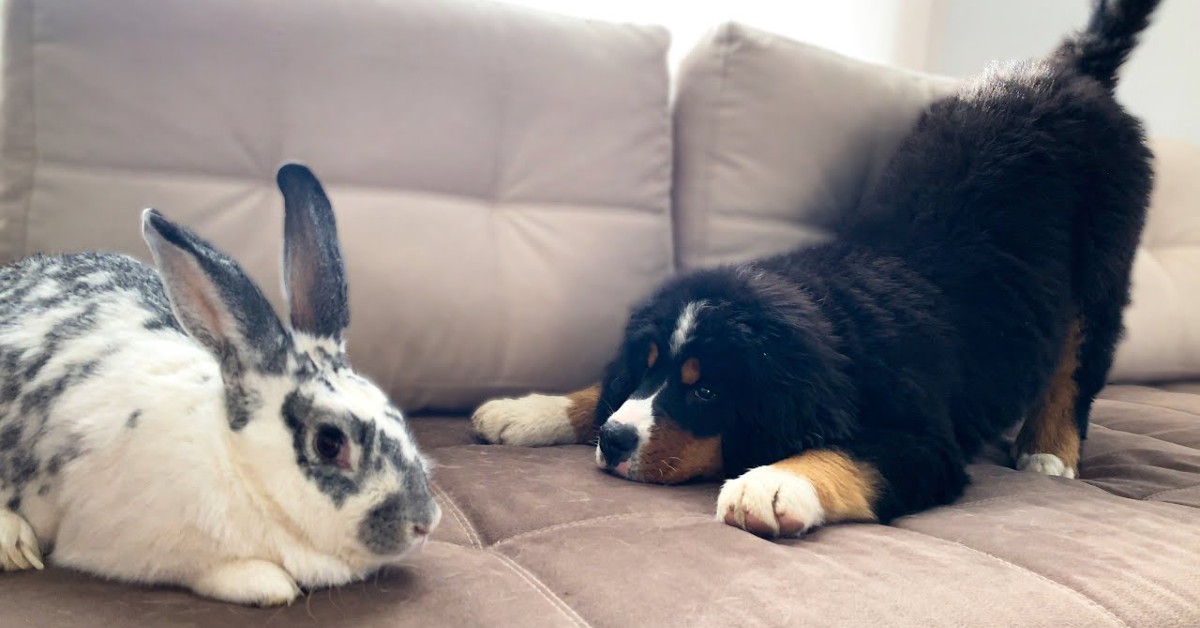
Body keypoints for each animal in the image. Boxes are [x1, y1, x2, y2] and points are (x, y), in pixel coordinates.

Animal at [472, 0, 1156, 537]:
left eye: (706, 390)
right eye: (648, 368)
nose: (615, 442)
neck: (838, 322)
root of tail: (1070, 70)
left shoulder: (924, 442)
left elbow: (858, 457)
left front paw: (774, 483)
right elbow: (605, 389)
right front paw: (529, 410)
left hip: (1105, 259)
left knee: (1078, 360)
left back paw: (1048, 451)